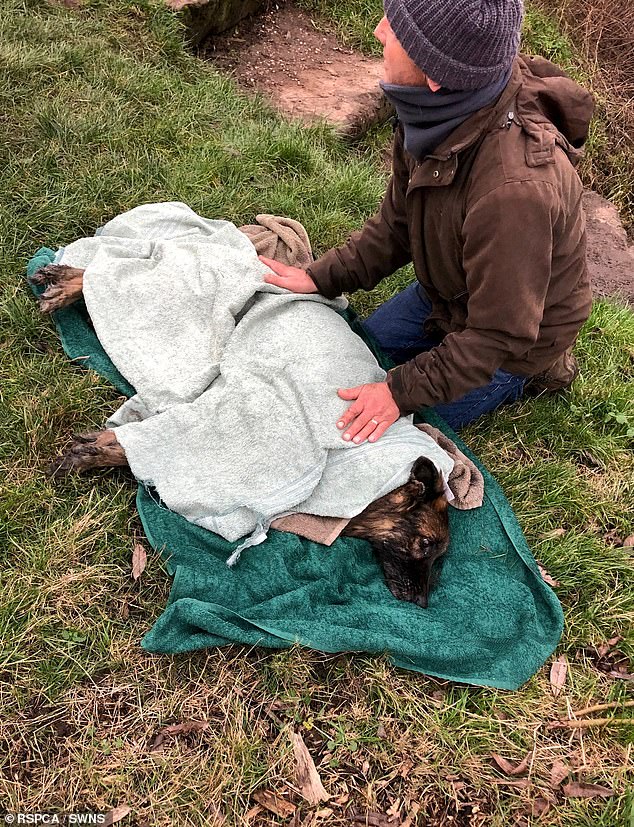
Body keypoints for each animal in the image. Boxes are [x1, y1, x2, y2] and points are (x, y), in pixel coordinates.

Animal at [33, 266, 450, 608]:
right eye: (428, 544)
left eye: (441, 557)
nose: (423, 603)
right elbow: (129, 444)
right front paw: (87, 453)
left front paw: (90, 448)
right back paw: (68, 280)